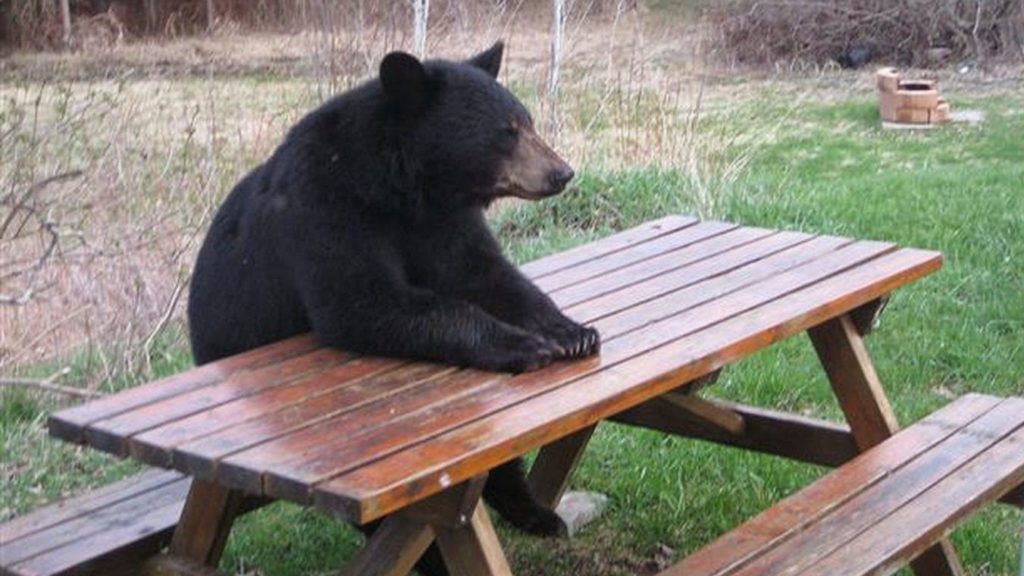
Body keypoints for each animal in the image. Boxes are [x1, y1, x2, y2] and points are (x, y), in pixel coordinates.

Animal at [190, 43, 598, 569]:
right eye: (506, 131)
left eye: (525, 121)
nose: (562, 172)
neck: (404, 188)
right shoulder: (324, 208)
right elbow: (363, 302)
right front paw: (526, 344)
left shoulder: (443, 221)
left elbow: (488, 275)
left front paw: (572, 331)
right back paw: (434, 560)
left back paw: (535, 512)